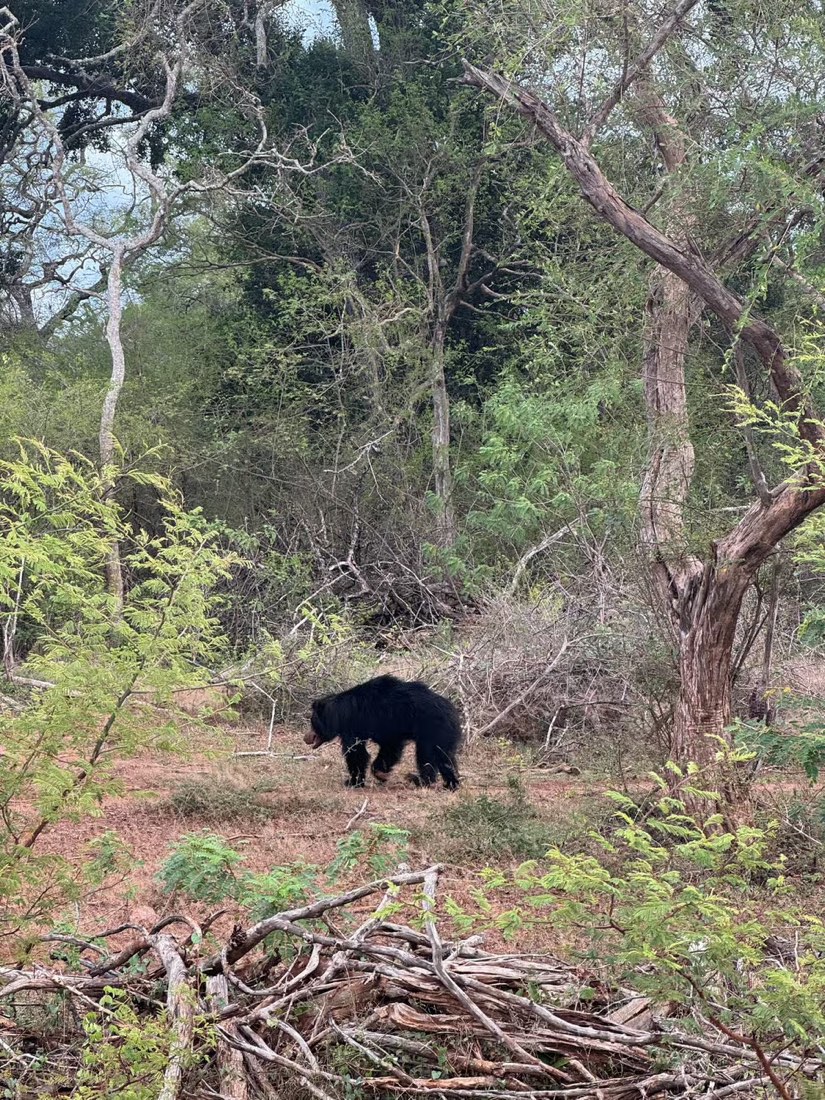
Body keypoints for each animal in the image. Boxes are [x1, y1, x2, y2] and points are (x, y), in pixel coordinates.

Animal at [304, 674, 461, 789]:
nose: (306, 738)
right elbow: (389, 748)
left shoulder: (354, 725)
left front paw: (353, 782)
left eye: (312, 723)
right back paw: (451, 784)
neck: (338, 714)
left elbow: (356, 753)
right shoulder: (387, 730)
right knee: (445, 758)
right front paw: (381, 774)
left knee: (427, 756)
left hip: (431, 729)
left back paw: (419, 780)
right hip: (443, 734)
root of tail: (452, 711)